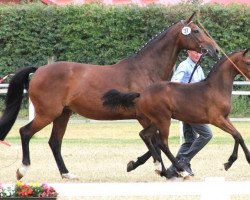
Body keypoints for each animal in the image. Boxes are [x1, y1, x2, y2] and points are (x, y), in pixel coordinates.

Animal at [0, 13, 219, 180]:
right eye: (196, 31)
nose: (215, 50)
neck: (144, 70)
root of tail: (38, 70)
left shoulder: (151, 118)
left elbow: (152, 142)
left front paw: (141, 165)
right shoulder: (145, 117)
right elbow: (154, 141)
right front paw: (166, 170)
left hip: (63, 114)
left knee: (54, 142)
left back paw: (67, 174)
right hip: (48, 113)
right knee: (25, 132)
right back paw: (22, 170)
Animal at [103, 49, 250, 177]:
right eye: (248, 62)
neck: (215, 88)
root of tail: (141, 94)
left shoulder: (226, 118)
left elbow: (237, 135)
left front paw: (229, 163)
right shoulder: (217, 119)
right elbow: (237, 135)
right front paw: (244, 159)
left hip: (157, 121)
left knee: (145, 135)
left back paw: (158, 166)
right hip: (164, 120)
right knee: (162, 143)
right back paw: (181, 170)